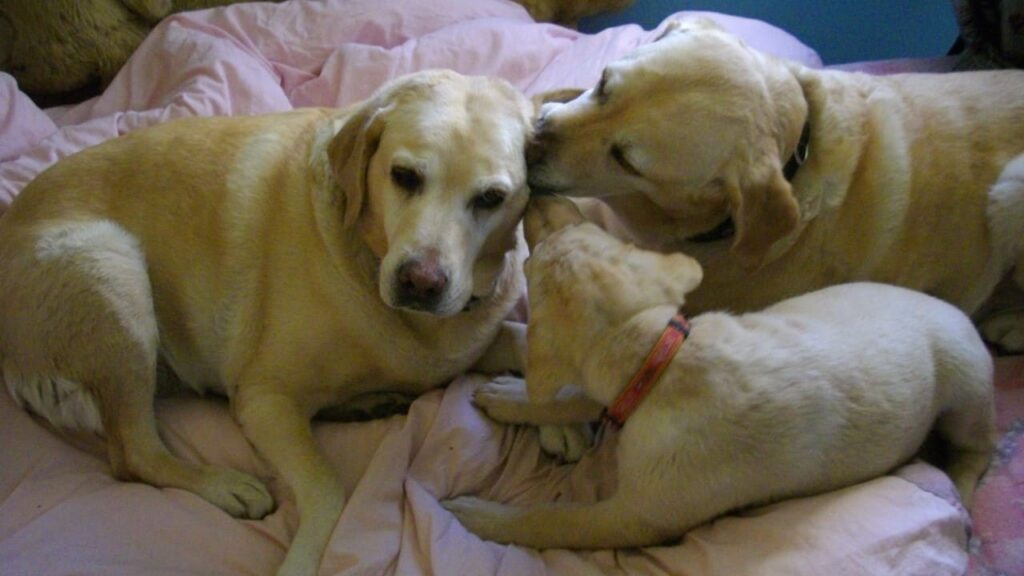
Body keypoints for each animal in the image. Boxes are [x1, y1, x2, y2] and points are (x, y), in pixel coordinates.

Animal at [0, 71, 536, 573]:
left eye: (491, 198)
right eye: (404, 176)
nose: (420, 282)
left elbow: (521, 339)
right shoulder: (263, 398)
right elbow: (328, 488)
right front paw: (303, 559)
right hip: (111, 264)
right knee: (134, 455)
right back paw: (226, 485)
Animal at [444, 195, 995, 545]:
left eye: (534, 257)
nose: (536, 192)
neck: (656, 359)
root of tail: (957, 310)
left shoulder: (636, 517)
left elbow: (552, 521)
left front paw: (484, 517)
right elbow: (575, 398)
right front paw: (510, 398)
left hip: (967, 390)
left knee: (977, 450)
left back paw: (961, 494)